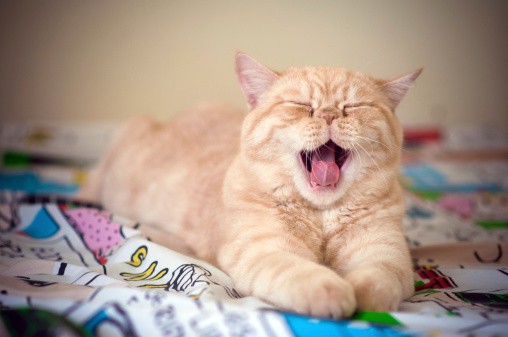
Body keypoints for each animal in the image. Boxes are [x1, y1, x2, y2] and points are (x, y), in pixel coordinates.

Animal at [79, 53, 420, 318]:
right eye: (301, 105)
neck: (321, 214)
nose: (328, 115)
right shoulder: (264, 249)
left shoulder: (386, 253)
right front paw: (335, 292)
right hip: (121, 146)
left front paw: (360, 297)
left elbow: (376, 281)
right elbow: (301, 273)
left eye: (354, 106)